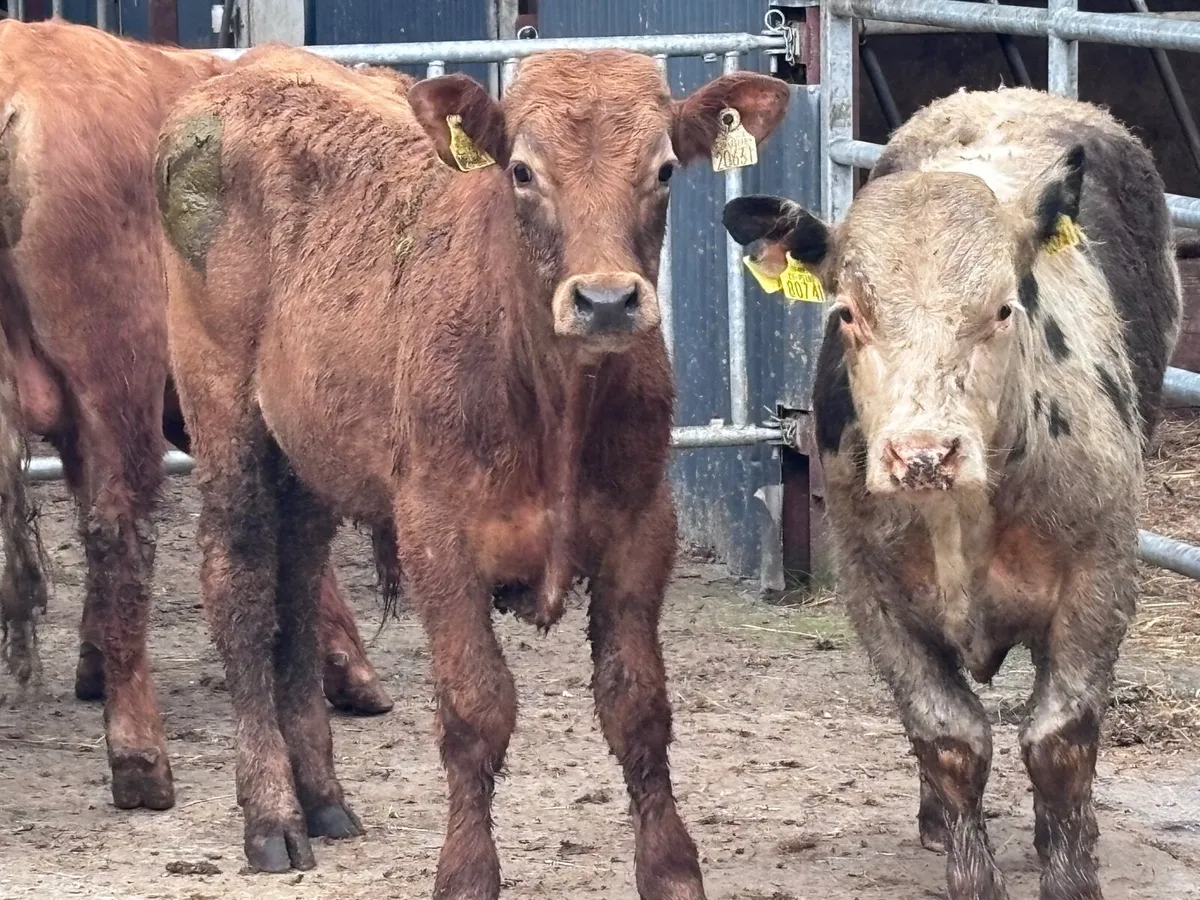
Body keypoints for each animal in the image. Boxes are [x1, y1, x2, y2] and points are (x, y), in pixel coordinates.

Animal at [155, 43, 789, 894]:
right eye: (521, 170)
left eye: (662, 170)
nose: (606, 301)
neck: (553, 399)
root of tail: (244, 73)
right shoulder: (437, 536)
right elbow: (475, 709)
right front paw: (465, 871)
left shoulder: (642, 527)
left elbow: (638, 706)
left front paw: (670, 870)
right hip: (225, 418)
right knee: (244, 595)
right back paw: (272, 816)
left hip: (309, 459)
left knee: (297, 591)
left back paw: (321, 798)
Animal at [723, 86, 1180, 900]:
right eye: (849, 312)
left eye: (1002, 308)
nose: (924, 454)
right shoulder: (873, 594)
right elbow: (949, 737)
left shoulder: (1100, 576)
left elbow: (1060, 740)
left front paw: (1071, 872)